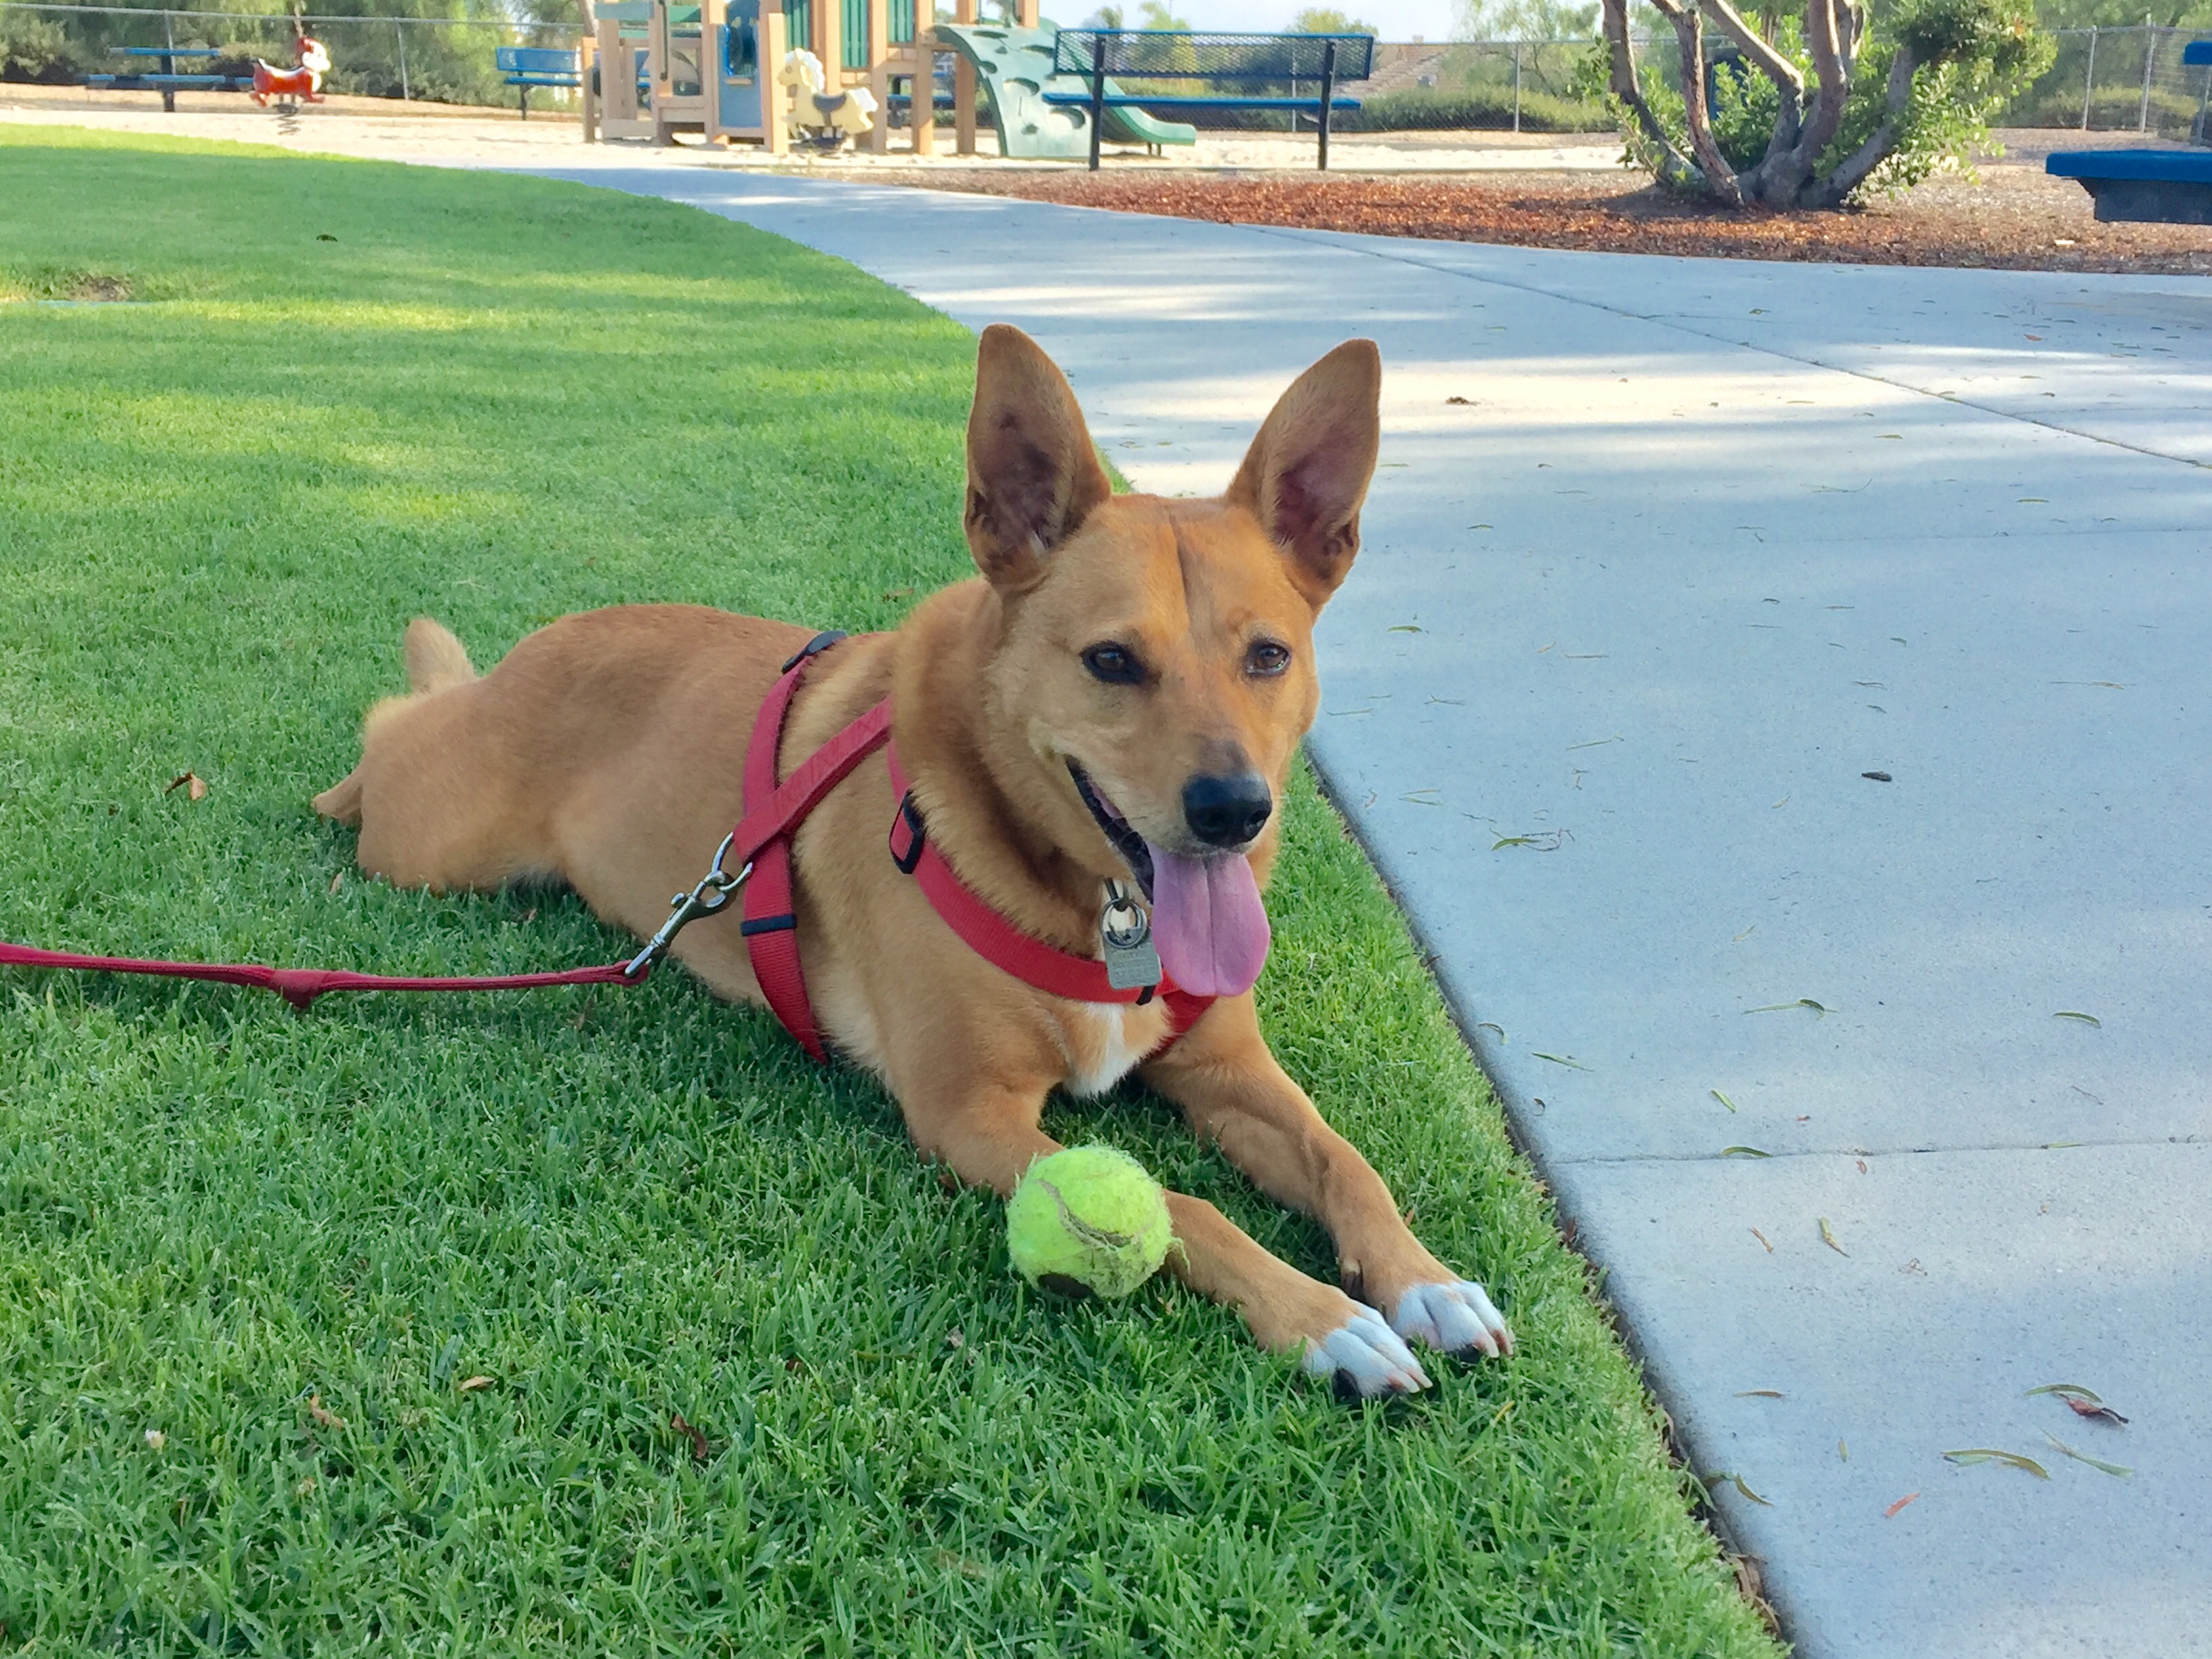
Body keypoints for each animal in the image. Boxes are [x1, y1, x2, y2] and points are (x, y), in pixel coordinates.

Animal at [312, 321, 1513, 1389]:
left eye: (1269, 656)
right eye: (1111, 661)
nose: (1234, 812)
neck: (1099, 912)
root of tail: (529, 653)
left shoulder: (1226, 1069)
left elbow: (1345, 1159)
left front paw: (1424, 1280)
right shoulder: (971, 1116)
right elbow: (1182, 1207)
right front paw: (1327, 1323)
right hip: (428, 841)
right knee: (387, 734)